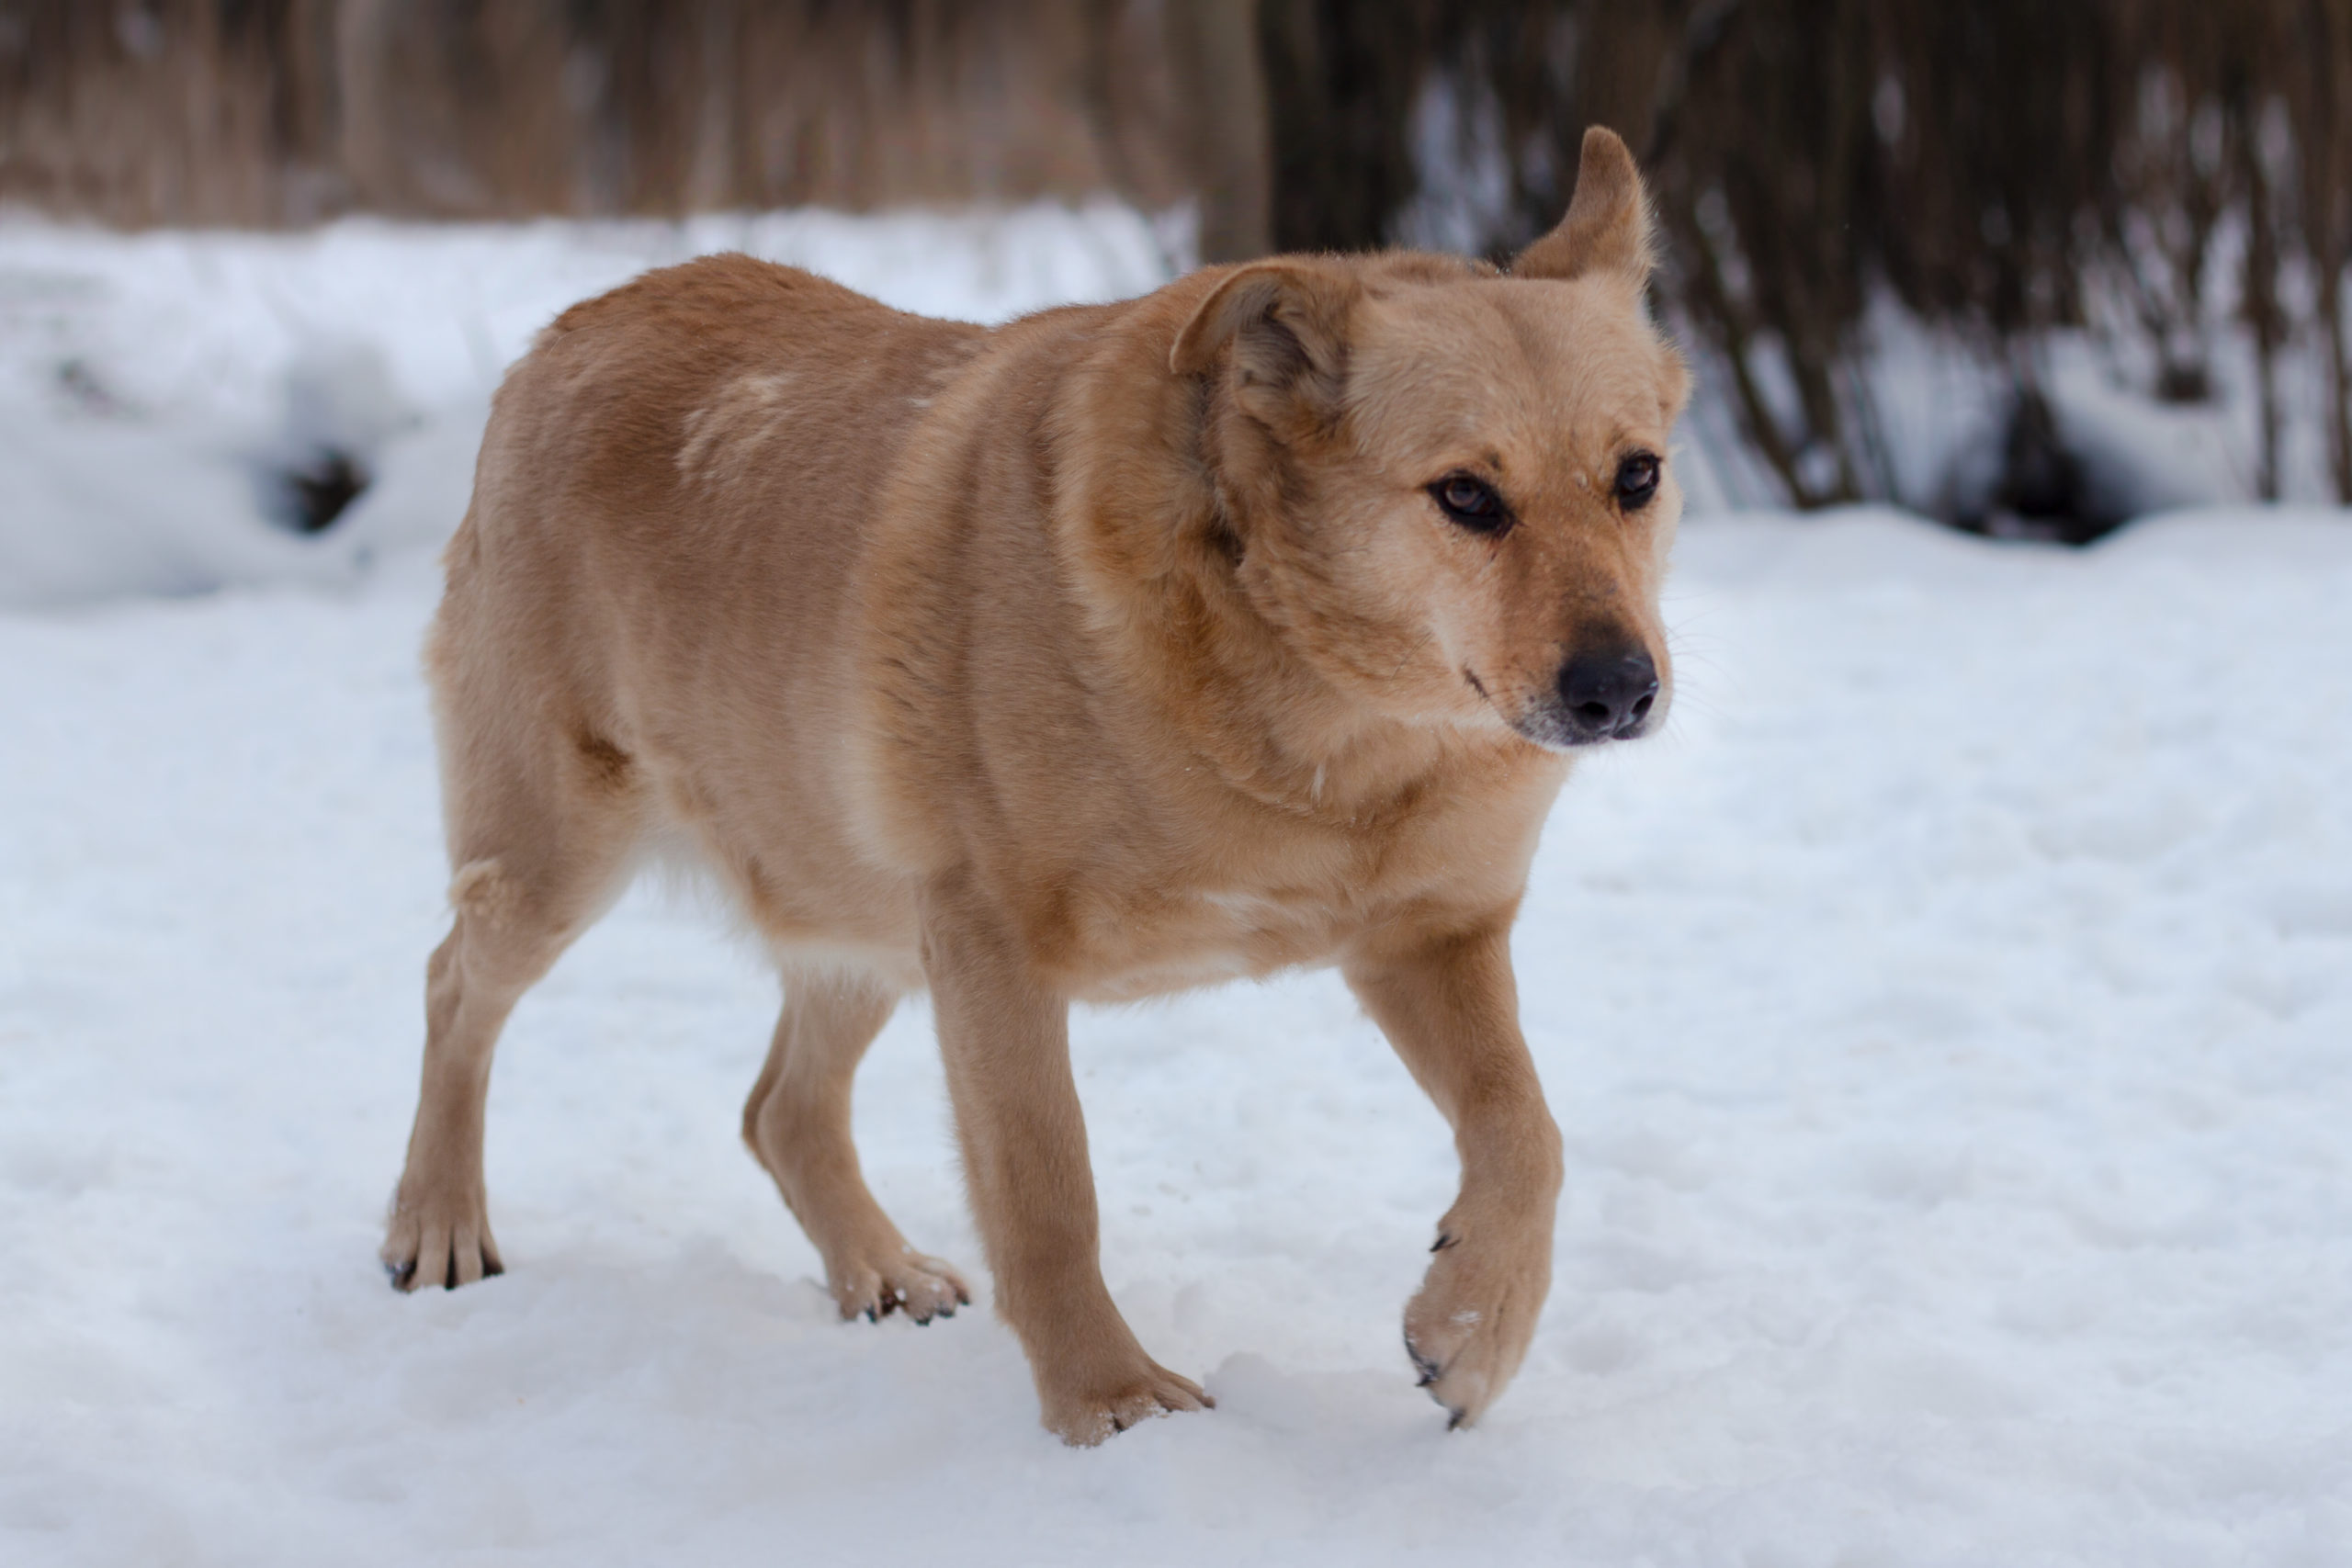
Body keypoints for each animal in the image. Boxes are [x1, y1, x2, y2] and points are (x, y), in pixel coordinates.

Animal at [382, 126, 1689, 1445]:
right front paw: (1109, 1403)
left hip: (860, 903)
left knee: (781, 1107)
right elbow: (1048, 1187)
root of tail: (574, 324)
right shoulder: (992, 942)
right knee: (452, 987)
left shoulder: (1427, 934)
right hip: (565, 856)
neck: (1329, 727)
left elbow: (1527, 1131)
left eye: (1636, 476)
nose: (1619, 690)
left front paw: (1471, 1328)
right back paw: (436, 1224)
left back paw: (879, 1272)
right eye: (1467, 494)